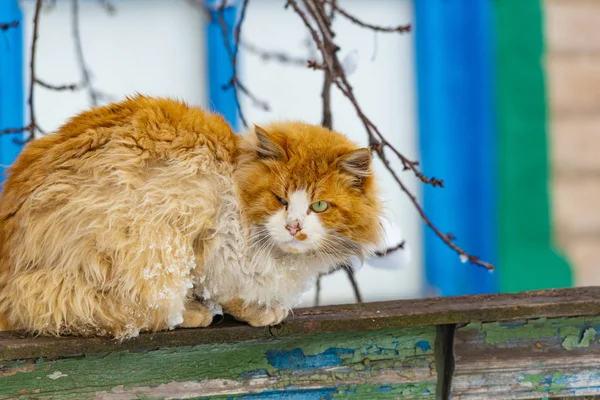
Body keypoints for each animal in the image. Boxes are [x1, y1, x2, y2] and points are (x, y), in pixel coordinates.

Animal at [0, 94, 384, 338]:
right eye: (279, 199)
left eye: (319, 206)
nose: (294, 226)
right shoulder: (210, 237)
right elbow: (229, 289)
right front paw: (258, 312)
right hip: (146, 246)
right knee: (125, 313)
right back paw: (192, 314)